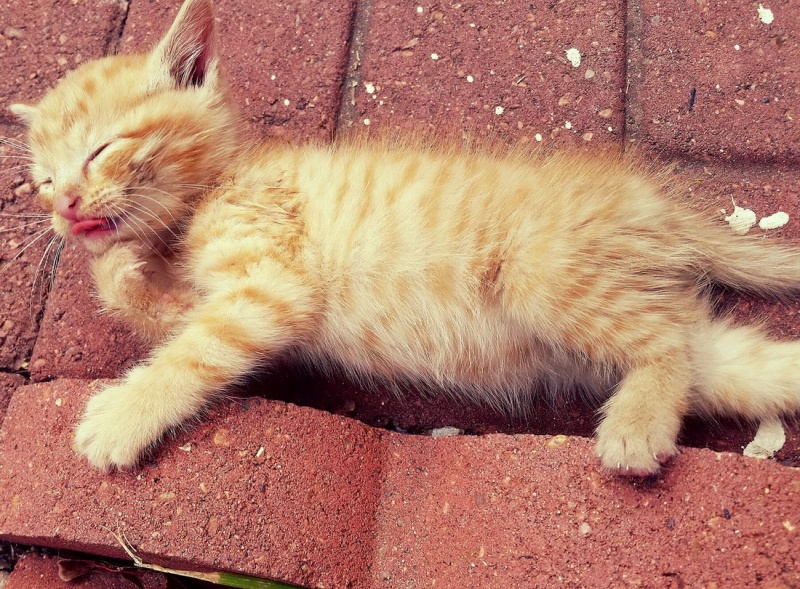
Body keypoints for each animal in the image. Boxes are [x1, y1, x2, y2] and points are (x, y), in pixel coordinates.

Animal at [9, 0, 800, 476]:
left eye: (101, 150)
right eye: (44, 180)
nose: (66, 206)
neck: (218, 185)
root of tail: (656, 205)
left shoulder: (271, 288)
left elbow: (190, 354)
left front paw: (122, 415)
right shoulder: (232, 299)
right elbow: (156, 309)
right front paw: (117, 262)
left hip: (543, 273)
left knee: (664, 344)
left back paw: (634, 429)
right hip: (672, 332)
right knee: (732, 359)